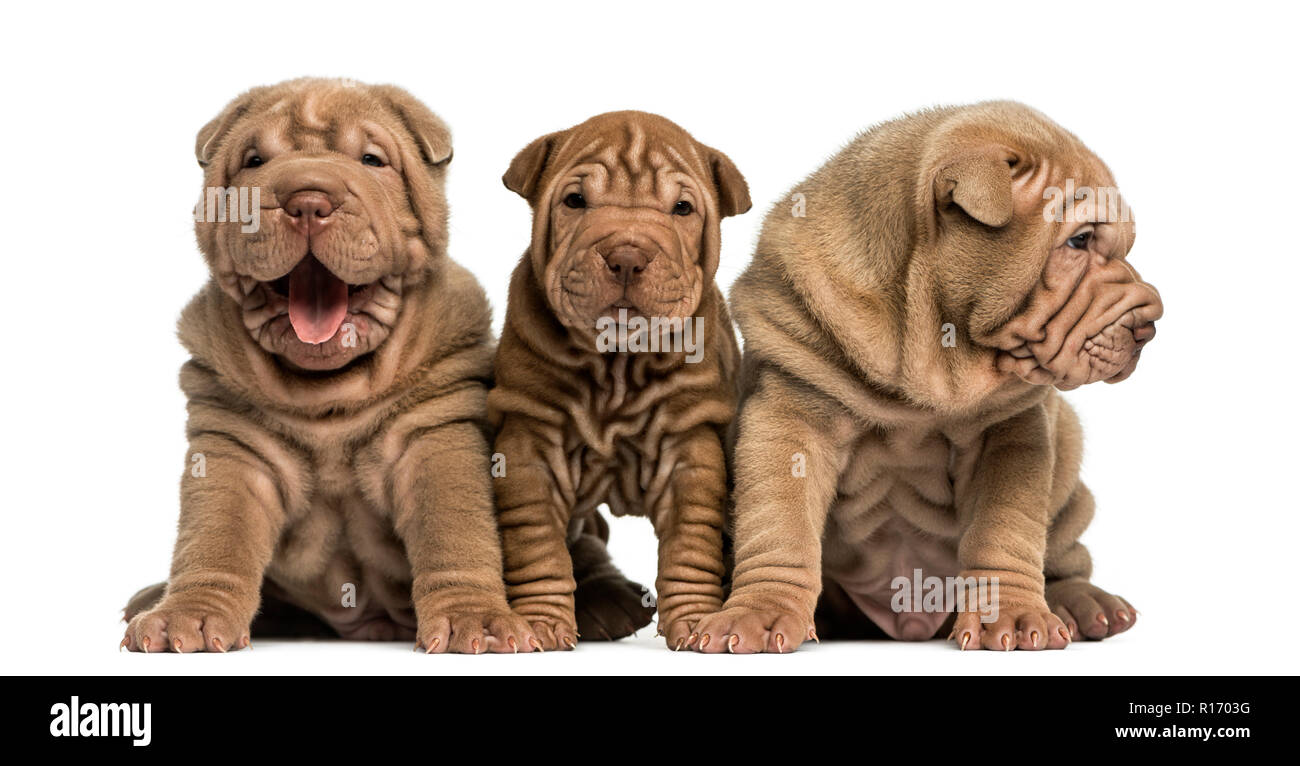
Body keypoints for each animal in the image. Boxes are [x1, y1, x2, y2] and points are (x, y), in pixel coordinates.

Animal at [118, 76, 533, 650]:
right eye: (254, 161)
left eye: (372, 160)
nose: (308, 201)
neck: (330, 390)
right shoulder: (234, 445)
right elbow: (215, 538)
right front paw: (188, 616)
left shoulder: (435, 433)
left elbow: (455, 532)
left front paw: (477, 620)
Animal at [488, 110, 754, 647]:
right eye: (574, 201)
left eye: (682, 208)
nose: (627, 255)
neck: (618, 364)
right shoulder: (530, 444)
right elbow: (538, 545)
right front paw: (541, 623)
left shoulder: (689, 446)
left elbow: (690, 544)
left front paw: (695, 621)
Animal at [696, 100, 1164, 650]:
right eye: (1080, 239)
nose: (1151, 322)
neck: (929, 349)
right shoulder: (792, 414)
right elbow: (778, 523)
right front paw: (760, 614)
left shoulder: (1011, 434)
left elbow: (1004, 530)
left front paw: (1010, 618)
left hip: (1068, 465)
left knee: (1066, 553)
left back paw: (1085, 605)